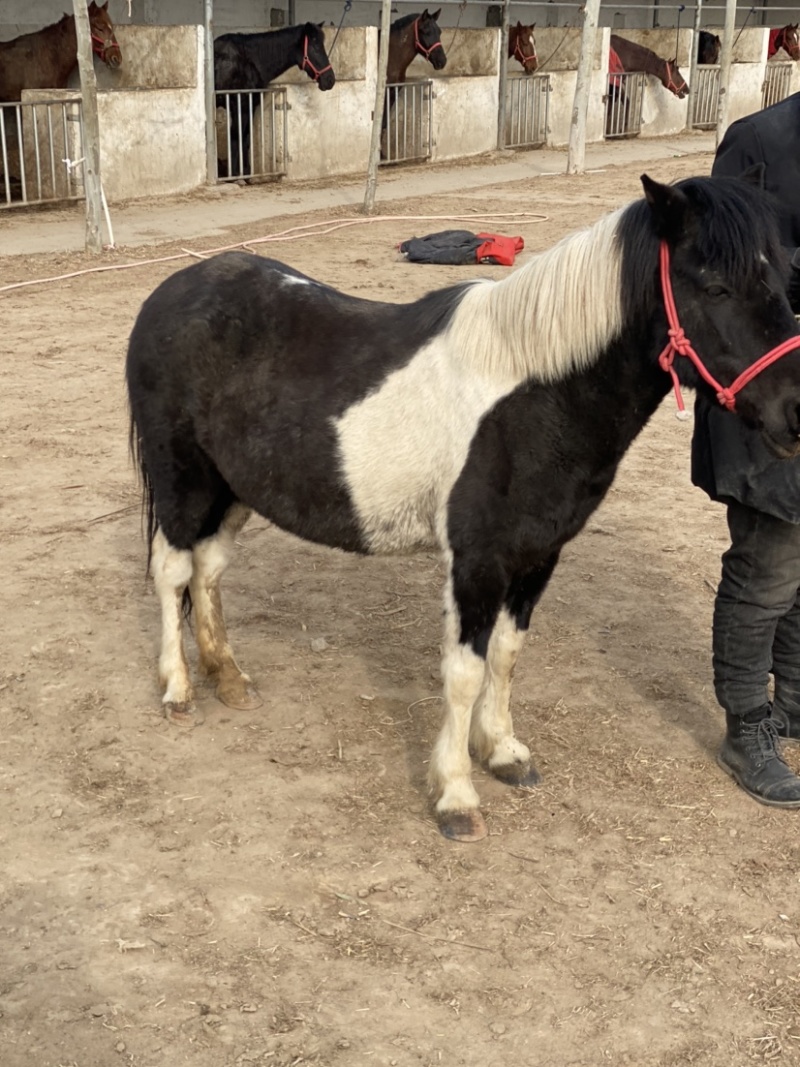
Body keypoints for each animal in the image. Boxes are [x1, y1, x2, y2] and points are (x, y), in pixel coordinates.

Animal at [126, 173, 800, 843]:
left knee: (209, 570)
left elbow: (505, 655)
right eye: (714, 286)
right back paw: (179, 690)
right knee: (174, 571)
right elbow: (464, 671)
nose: (795, 413)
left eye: (781, 278)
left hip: (231, 489)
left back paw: (228, 677)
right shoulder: (477, 560)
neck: (535, 394)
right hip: (182, 482)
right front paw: (455, 795)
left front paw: (501, 752)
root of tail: (171, 292)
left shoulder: (537, 555)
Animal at [214, 23, 335, 179]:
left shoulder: (251, 105)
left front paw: (246, 173)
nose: (330, 80)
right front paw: (236, 176)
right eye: (315, 47)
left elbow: (246, 138)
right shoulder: (240, 106)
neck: (248, 60)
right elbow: (237, 137)